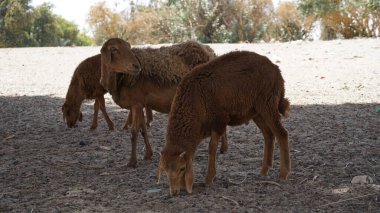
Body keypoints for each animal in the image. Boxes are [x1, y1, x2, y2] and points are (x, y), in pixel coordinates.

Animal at [100, 38, 226, 168]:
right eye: (114, 49)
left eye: (129, 48)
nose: (137, 66)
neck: (121, 79)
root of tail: (210, 52)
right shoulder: (141, 104)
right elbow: (143, 129)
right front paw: (148, 154)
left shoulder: (136, 104)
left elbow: (134, 132)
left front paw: (132, 161)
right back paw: (223, 148)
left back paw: (222, 148)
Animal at [157, 50, 290, 196]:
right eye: (165, 171)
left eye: (182, 168)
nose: (174, 192)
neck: (196, 102)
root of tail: (277, 71)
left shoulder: (218, 120)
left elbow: (212, 148)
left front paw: (209, 178)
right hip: (256, 111)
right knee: (269, 135)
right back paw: (264, 170)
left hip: (267, 103)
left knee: (282, 134)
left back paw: (283, 174)